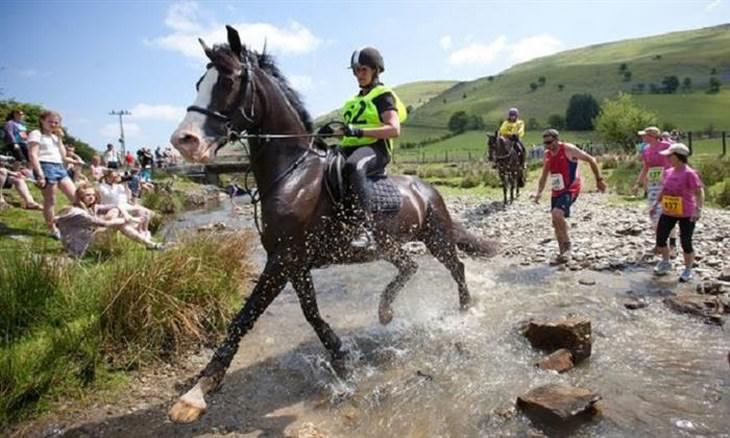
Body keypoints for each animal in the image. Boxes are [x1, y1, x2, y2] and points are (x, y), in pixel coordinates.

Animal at [166, 25, 494, 422]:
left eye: (228, 81)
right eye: (200, 81)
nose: (183, 141)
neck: (292, 175)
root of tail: (427, 187)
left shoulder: (283, 260)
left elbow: (245, 317)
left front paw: (197, 392)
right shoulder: (293, 261)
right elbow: (310, 312)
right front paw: (339, 354)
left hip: (437, 237)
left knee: (456, 267)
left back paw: (463, 309)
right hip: (392, 246)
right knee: (409, 267)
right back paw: (385, 311)